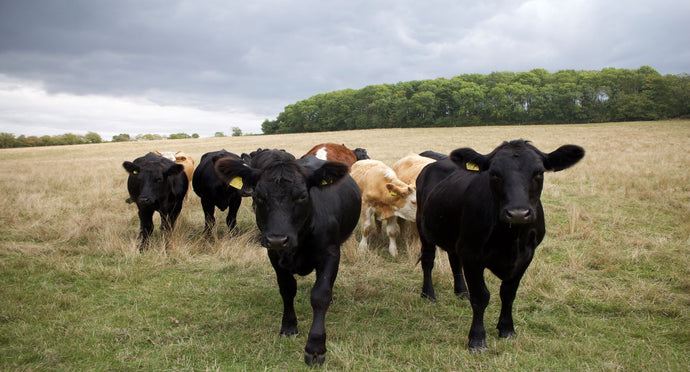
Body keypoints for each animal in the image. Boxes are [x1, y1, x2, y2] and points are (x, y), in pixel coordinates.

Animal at [212, 149, 360, 366]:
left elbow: (320, 295)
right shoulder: (274, 256)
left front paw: (315, 347)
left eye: (302, 196)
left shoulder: (330, 253)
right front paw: (289, 327)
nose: (277, 239)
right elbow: (287, 289)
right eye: (258, 196)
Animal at [414, 139, 580, 352]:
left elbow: (508, 292)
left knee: (454, 260)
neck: (510, 239)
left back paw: (461, 291)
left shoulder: (527, 255)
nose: (518, 213)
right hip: (424, 227)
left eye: (539, 172)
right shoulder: (471, 255)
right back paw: (428, 294)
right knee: (428, 260)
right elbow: (481, 296)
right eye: (494, 173)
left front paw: (507, 329)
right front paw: (477, 339)